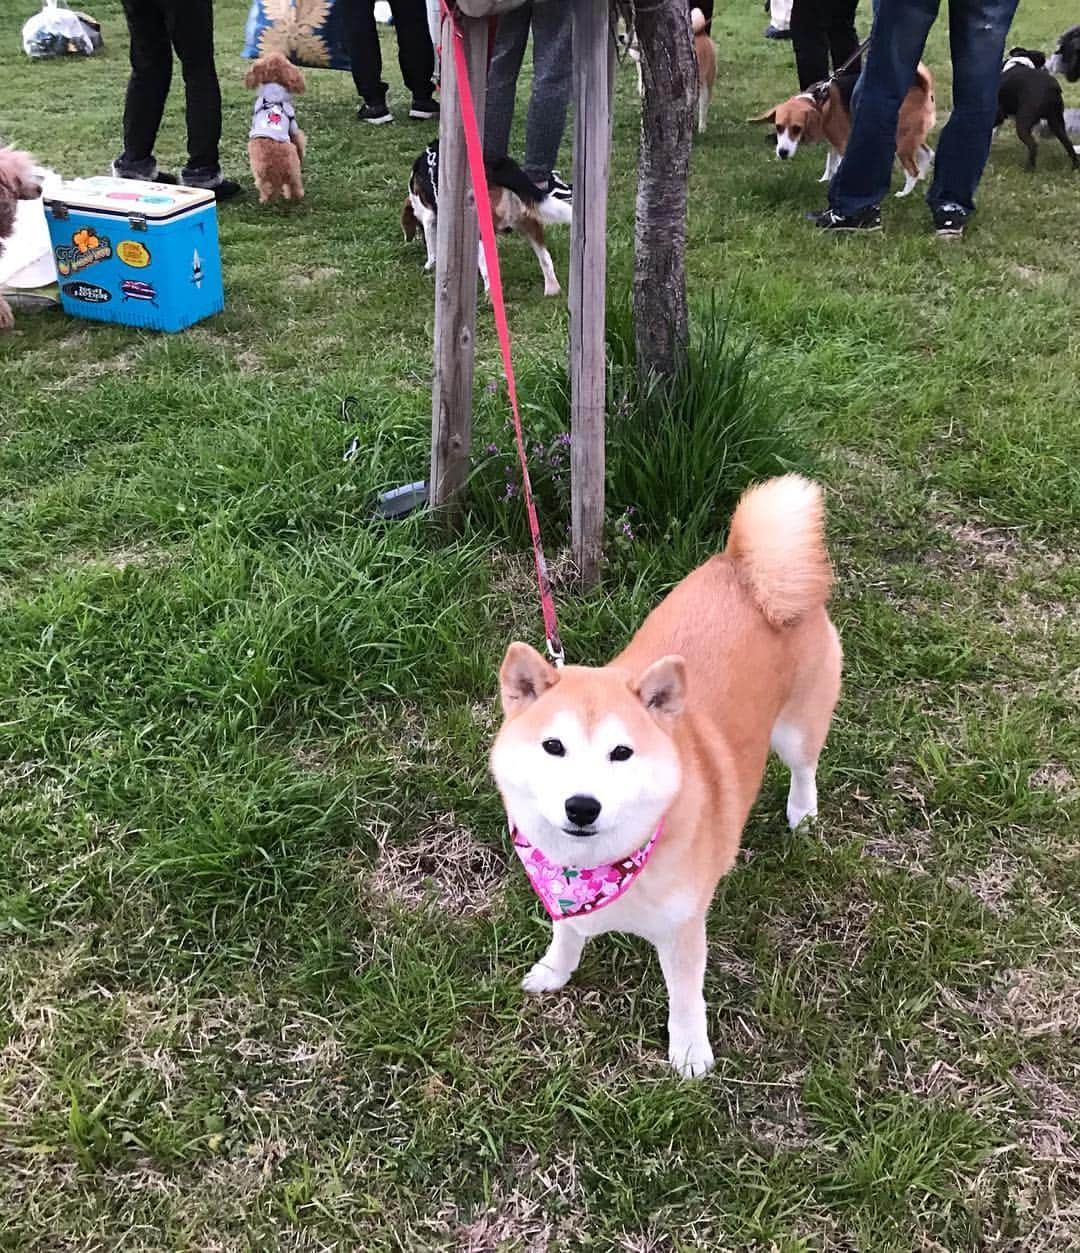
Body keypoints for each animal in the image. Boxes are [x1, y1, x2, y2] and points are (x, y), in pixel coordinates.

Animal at [400, 141, 576, 298]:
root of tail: (500, 164)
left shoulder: (428, 218)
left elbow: (432, 251)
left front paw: (429, 267)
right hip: (528, 221)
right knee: (546, 258)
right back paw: (552, 289)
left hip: (482, 233)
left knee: (488, 273)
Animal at [493, 473, 846, 1082]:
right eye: (553, 747)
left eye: (622, 753)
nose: (582, 806)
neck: (597, 868)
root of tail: (746, 568)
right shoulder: (560, 890)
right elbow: (566, 934)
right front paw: (555, 971)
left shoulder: (683, 931)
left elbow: (685, 997)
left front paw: (688, 1051)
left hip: (797, 729)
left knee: (805, 767)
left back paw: (802, 813)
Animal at [751, 63, 937, 192]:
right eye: (778, 127)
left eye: (797, 128)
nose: (782, 153)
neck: (818, 101)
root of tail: (923, 87)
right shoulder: (832, 143)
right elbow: (830, 164)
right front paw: (824, 180)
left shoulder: (842, 144)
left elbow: (839, 165)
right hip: (910, 135)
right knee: (927, 154)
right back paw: (920, 179)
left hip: (902, 140)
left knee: (912, 169)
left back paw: (903, 194)